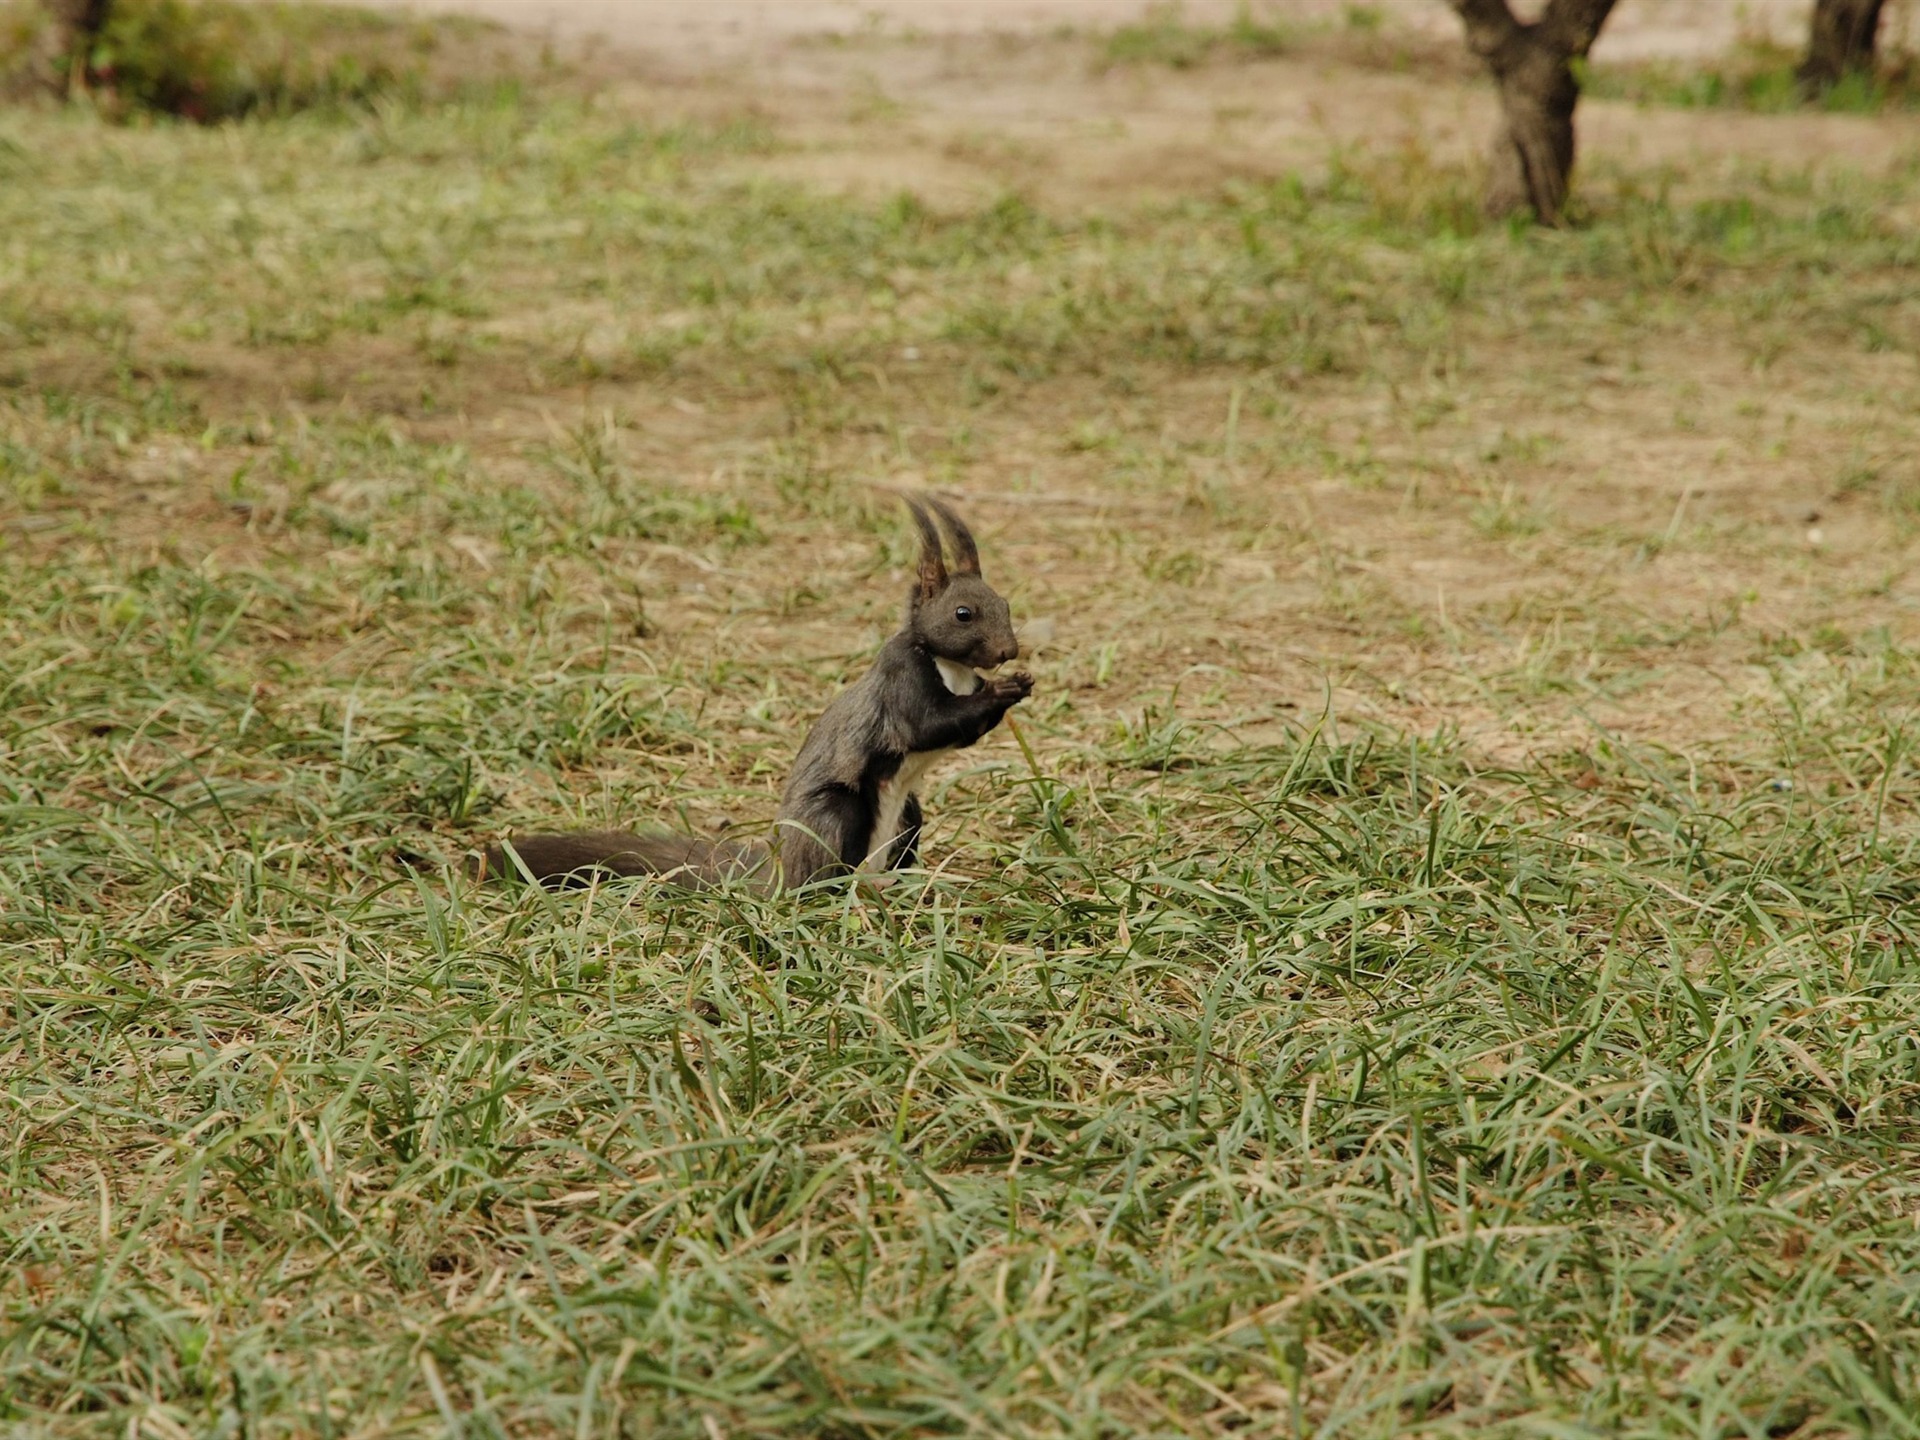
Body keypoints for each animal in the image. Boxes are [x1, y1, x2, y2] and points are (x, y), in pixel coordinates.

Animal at [487, 503, 1044, 898]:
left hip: (907, 818)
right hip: (836, 815)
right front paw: (1006, 689)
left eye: (1005, 603)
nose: (1008, 651)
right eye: (963, 613)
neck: (951, 668)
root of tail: (778, 868)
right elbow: (929, 726)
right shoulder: (901, 682)